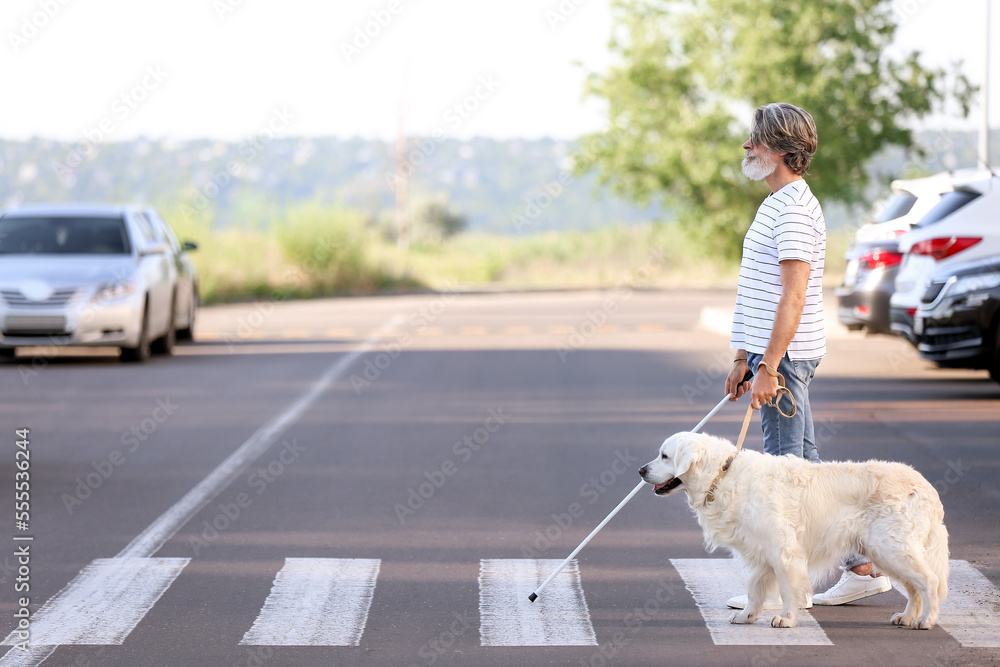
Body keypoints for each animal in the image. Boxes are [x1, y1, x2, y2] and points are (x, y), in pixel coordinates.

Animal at [636, 434, 948, 632]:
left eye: (665, 456)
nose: (640, 470)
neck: (721, 475)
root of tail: (926, 486)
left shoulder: (783, 551)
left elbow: (787, 589)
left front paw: (786, 618)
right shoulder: (757, 554)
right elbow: (754, 589)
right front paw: (748, 616)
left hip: (892, 548)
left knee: (929, 582)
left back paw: (926, 621)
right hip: (885, 552)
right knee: (914, 588)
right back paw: (906, 617)